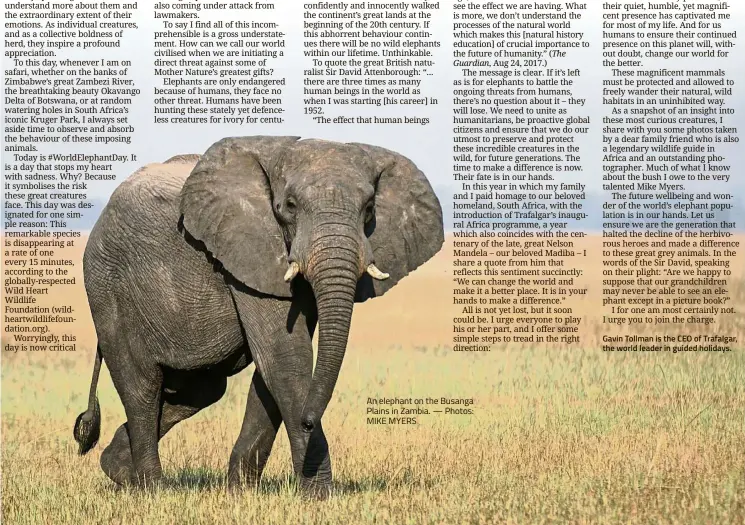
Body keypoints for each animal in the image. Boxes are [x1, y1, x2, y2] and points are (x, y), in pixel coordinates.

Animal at [72, 135, 442, 496]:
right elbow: (284, 360)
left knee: (200, 390)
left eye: (369, 210)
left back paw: (119, 470)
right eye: (289, 206)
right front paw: (320, 497)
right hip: (108, 288)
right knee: (143, 388)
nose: (309, 420)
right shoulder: (249, 254)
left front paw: (240, 493)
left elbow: (270, 372)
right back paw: (154, 490)